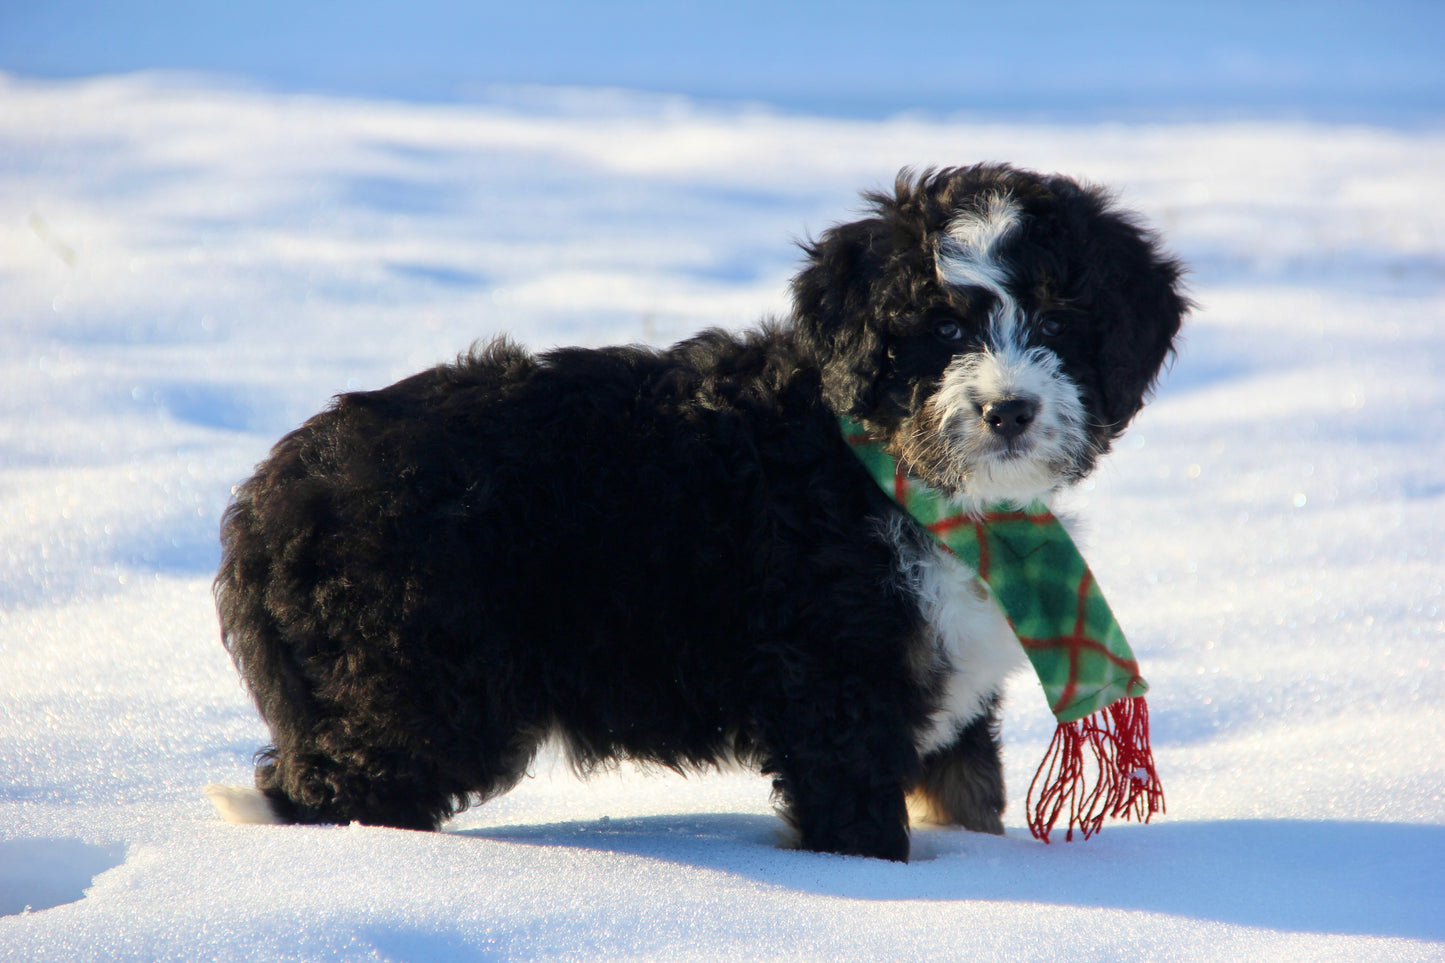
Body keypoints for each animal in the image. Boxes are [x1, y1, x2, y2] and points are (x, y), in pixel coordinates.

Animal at [210, 161, 1184, 856]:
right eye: (944, 330)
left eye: (1056, 326)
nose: (1008, 411)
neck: (878, 466)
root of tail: (270, 493)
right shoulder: (836, 687)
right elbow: (864, 830)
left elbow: (968, 797)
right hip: (416, 688)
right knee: (331, 792)